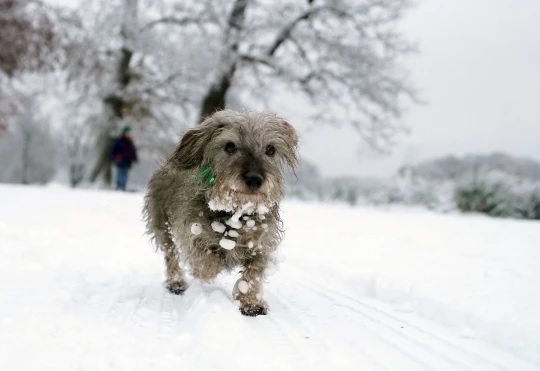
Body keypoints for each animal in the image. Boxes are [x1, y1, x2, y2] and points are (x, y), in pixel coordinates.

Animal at [143, 110, 298, 316]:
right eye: (229, 146)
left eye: (271, 149)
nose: (255, 179)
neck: (236, 214)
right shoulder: (192, 234)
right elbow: (206, 263)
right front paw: (209, 269)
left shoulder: (262, 244)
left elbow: (254, 273)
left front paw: (251, 302)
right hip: (162, 225)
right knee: (171, 255)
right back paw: (176, 281)